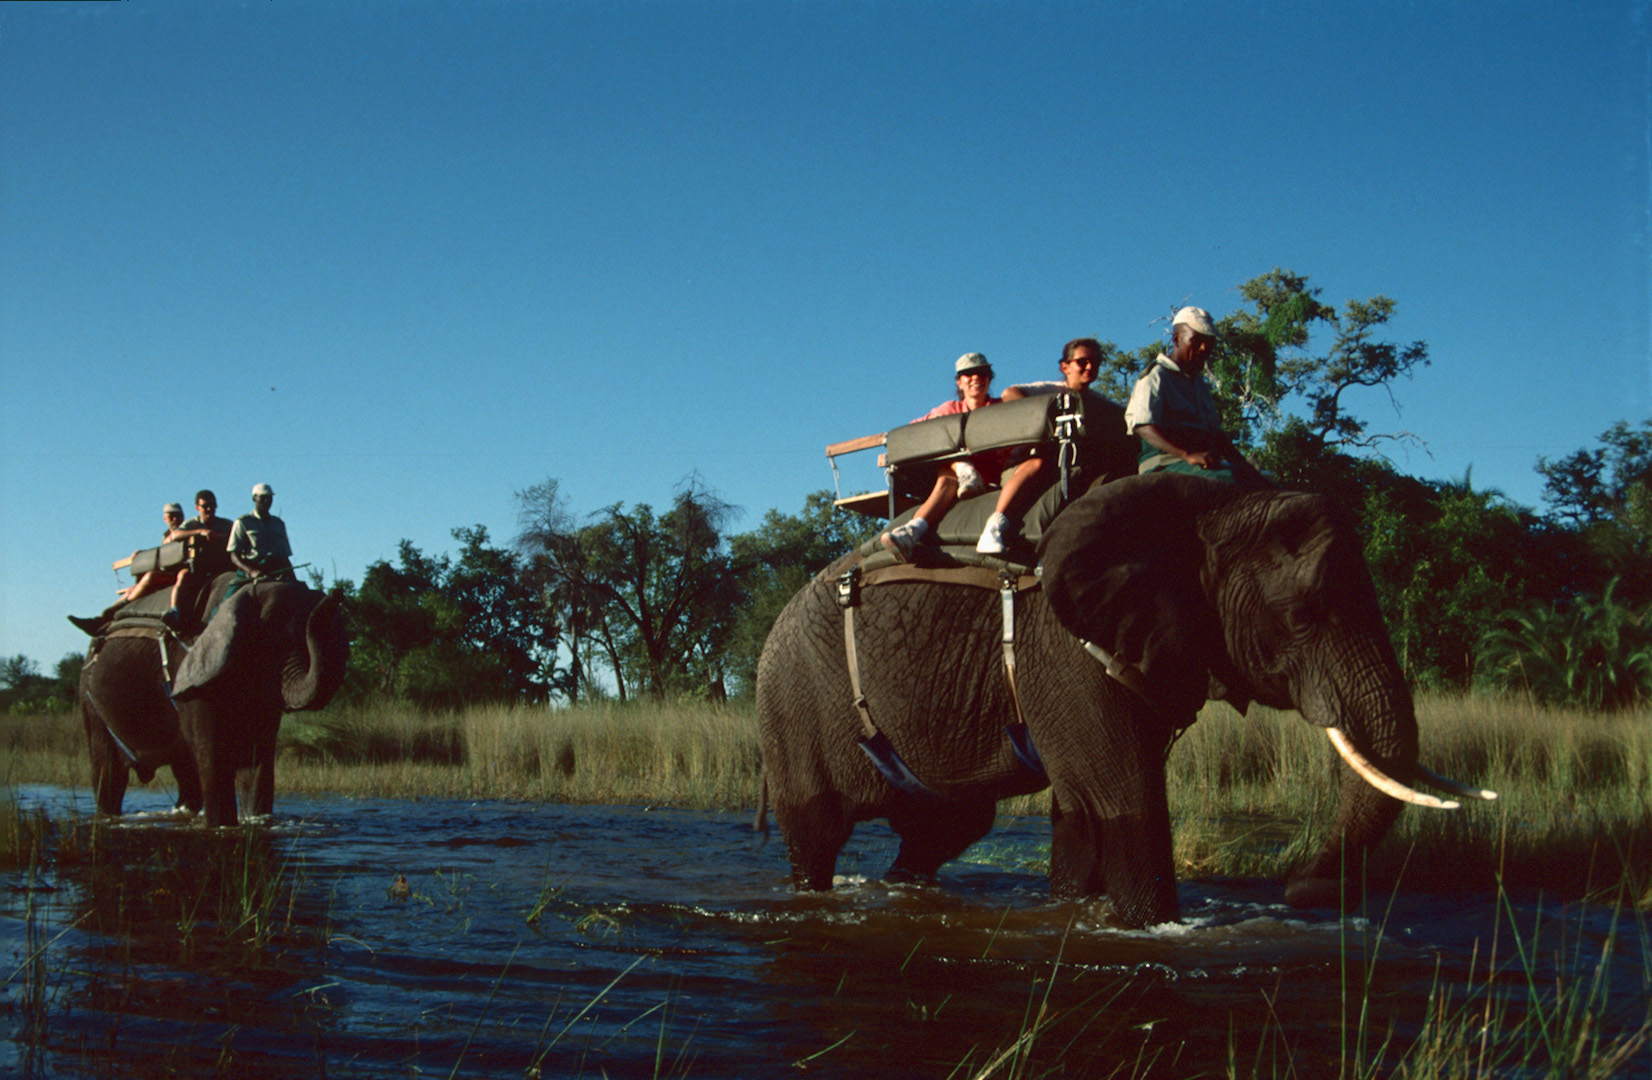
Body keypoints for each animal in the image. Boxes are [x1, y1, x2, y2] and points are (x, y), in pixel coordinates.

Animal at [79, 574, 348, 828]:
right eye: (273, 632)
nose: (336, 594)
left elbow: (256, 758)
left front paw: (255, 822)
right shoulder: (189, 664)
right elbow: (212, 755)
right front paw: (222, 826)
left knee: (185, 774)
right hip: (89, 698)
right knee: (108, 773)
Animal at [756, 475, 1493, 931]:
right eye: (1302, 616)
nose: (1303, 889)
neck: (1207, 507)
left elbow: (1081, 811)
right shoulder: (1065, 646)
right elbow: (1126, 802)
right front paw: (1152, 928)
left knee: (949, 825)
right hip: (791, 701)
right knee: (818, 834)